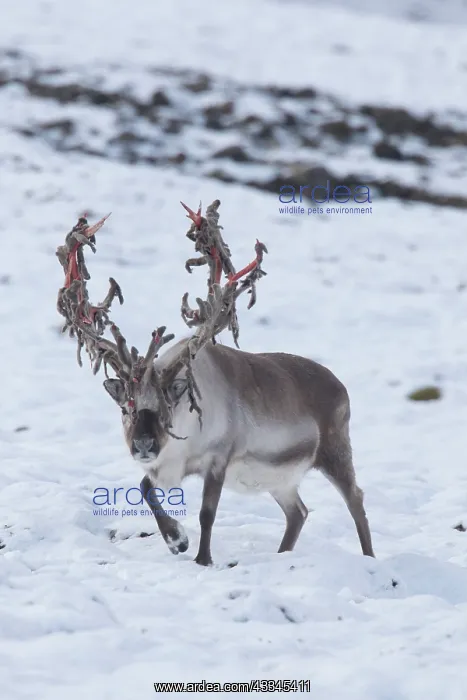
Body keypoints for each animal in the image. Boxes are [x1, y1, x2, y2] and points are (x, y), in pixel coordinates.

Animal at [56, 200, 375, 566]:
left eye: (168, 405)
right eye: (125, 408)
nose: (143, 444)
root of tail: (341, 387)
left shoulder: (218, 459)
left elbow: (207, 513)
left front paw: (202, 558)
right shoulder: (166, 467)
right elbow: (144, 487)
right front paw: (176, 540)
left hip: (336, 451)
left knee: (356, 500)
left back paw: (369, 557)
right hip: (280, 480)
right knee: (299, 512)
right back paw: (281, 555)